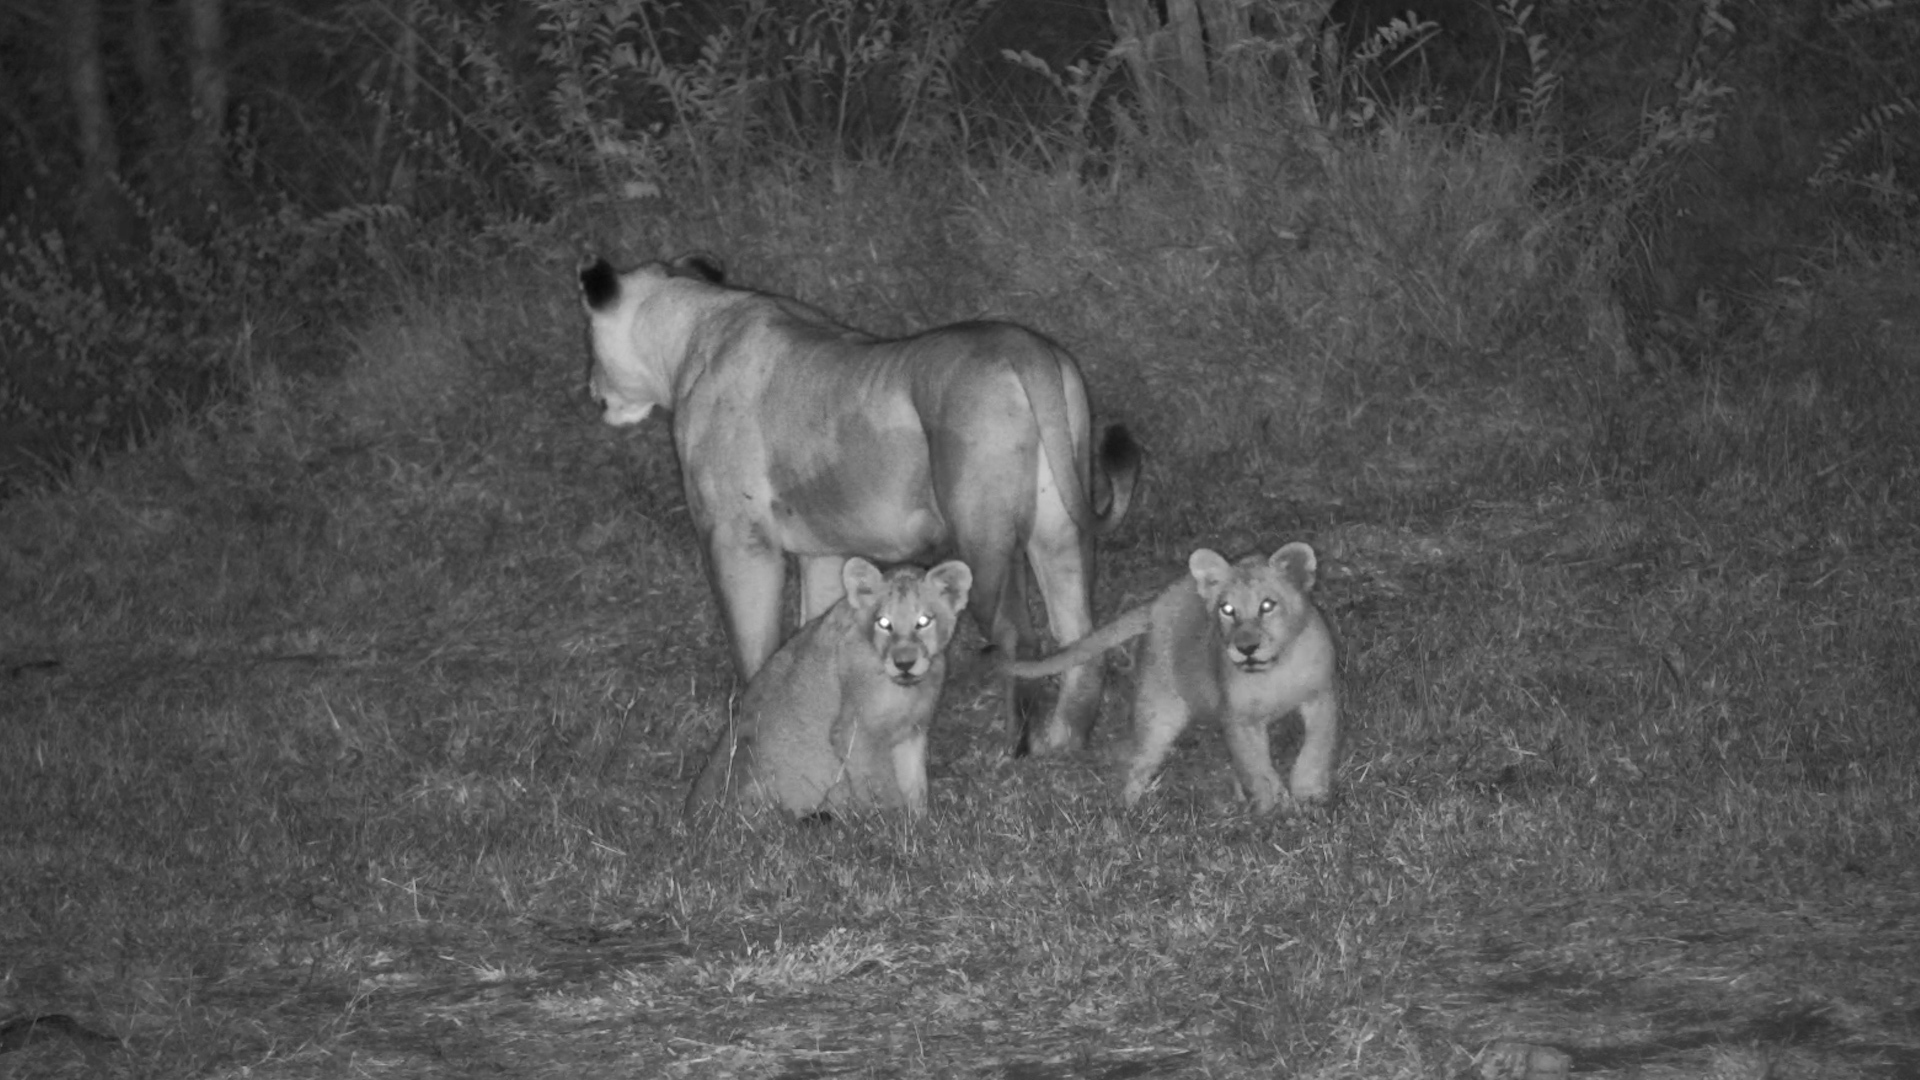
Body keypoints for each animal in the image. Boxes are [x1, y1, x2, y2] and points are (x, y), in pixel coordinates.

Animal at [581, 253, 1140, 757]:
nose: (590, 389)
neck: (698, 323)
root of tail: (1024, 347)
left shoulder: (737, 539)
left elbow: (753, 648)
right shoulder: (823, 549)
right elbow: (813, 636)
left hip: (982, 539)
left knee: (1019, 639)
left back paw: (1016, 750)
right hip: (1058, 532)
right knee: (1081, 637)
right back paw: (1063, 742)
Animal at [685, 556, 972, 819]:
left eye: (923, 621)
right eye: (883, 623)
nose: (904, 663)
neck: (909, 689)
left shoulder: (913, 732)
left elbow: (915, 784)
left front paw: (920, 824)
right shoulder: (856, 732)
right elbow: (882, 786)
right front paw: (896, 827)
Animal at [1003, 544, 1339, 815]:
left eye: (1268, 605)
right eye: (1227, 609)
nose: (1246, 648)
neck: (1277, 669)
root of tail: (1156, 604)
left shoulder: (1323, 698)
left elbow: (1315, 749)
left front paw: (1309, 795)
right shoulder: (1239, 720)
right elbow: (1256, 767)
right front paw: (1272, 807)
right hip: (1159, 710)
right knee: (1140, 760)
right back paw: (1128, 812)